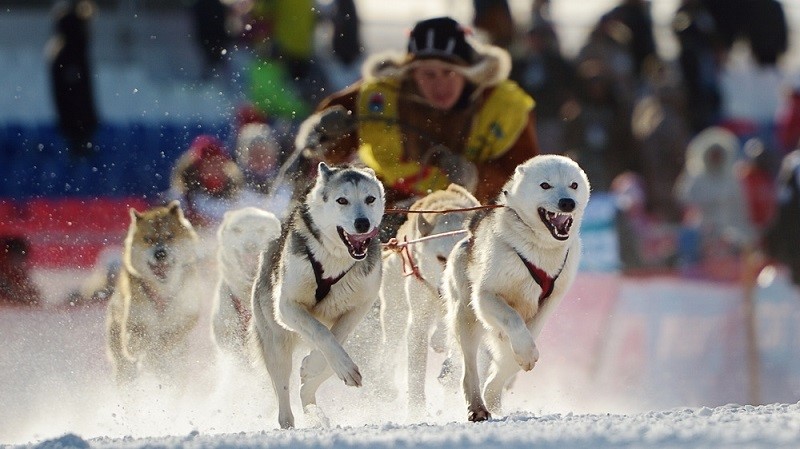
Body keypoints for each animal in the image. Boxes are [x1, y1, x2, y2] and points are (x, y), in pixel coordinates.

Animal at [105, 201, 199, 384]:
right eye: (148, 239)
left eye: (170, 236)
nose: (160, 253)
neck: (162, 290)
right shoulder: (134, 323)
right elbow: (141, 341)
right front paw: (151, 353)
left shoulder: (187, 315)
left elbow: (171, 337)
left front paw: (160, 350)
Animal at [252, 162, 386, 428]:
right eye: (342, 200)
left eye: (370, 199)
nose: (363, 223)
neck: (334, 259)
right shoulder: (287, 306)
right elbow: (322, 332)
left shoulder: (360, 306)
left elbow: (336, 337)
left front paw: (320, 365)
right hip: (277, 344)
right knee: (283, 390)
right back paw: (288, 422)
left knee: (312, 382)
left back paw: (314, 408)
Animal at [382, 182, 482, 416]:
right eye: (440, 258)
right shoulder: (418, 322)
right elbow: (416, 373)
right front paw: (416, 410)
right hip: (394, 311)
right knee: (389, 345)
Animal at [440, 154, 592, 420]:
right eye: (545, 185)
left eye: (573, 185)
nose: (567, 203)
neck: (540, 250)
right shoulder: (485, 297)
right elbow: (513, 320)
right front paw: (526, 352)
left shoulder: (548, 303)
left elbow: (518, 350)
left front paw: (501, 381)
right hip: (466, 318)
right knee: (469, 371)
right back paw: (477, 406)